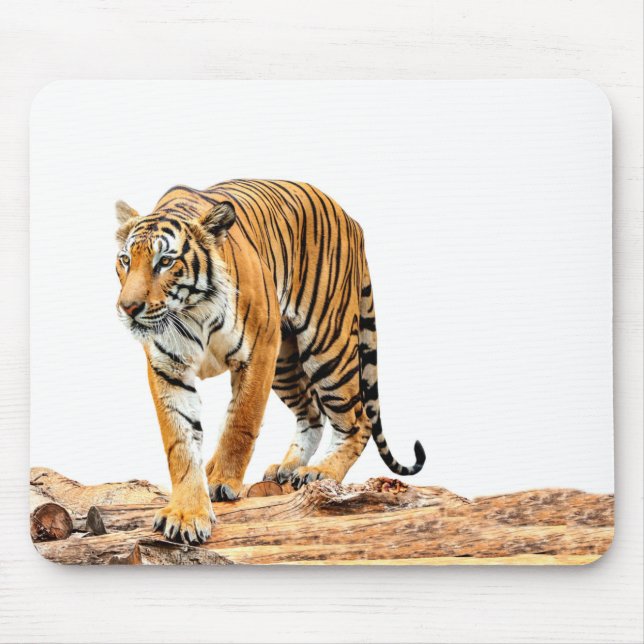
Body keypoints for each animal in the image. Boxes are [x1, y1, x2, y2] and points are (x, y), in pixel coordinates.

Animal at [115, 180, 425, 544]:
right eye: (125, 260)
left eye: (165, 261)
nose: (128, 307)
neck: (191, 311)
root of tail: (351, 220)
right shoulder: (169, 369)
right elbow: (180, 443)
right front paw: (187, 513)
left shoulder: (259, 350)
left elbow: (241, 423)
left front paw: (222, 482)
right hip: (286, 364)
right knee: (312, 413)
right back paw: (287, 467)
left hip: (327, 347)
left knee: (357, 420)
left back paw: (320, 472)